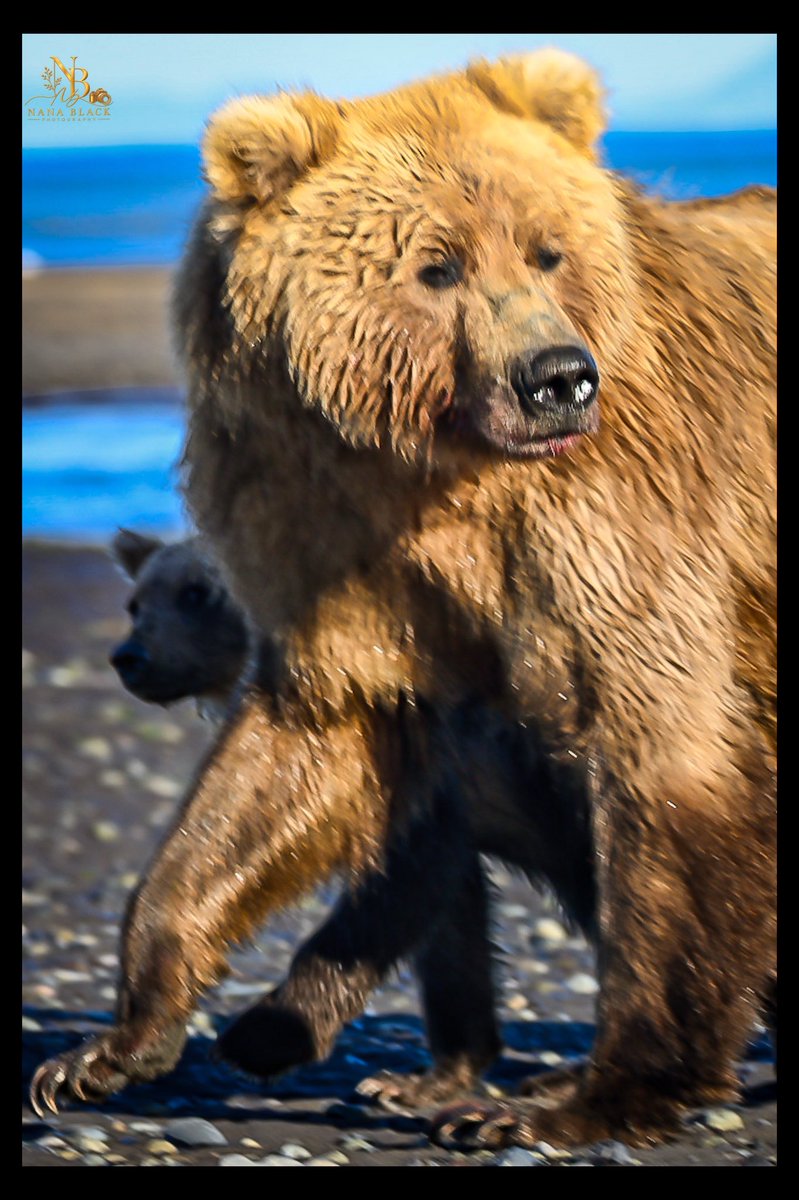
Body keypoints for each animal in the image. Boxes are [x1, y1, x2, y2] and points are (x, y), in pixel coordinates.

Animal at [31, 49, 775, 1149]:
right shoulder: (338, 546)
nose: (557, 377)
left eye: (547, 252)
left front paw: (582, 1095)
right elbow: (300, 757)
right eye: (438, 265)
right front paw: (112, 1048)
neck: (437, 472)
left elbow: (664, 755)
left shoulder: (620, 519)